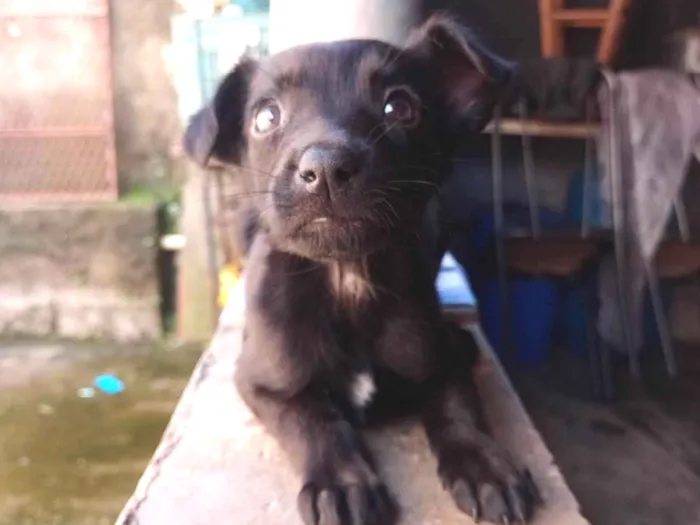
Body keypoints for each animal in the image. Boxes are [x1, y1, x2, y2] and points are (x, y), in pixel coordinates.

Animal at [185, 14, 536, 520]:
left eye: (400, 107)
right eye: (266, 116)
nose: (326, 169)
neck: (346, 276)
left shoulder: (446, 352)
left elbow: (458, 406)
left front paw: (483, 464)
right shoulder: (266, 381)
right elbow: (316, 420)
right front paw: (341, 481)